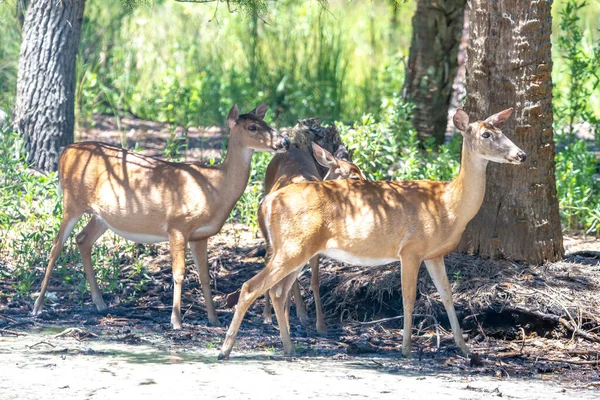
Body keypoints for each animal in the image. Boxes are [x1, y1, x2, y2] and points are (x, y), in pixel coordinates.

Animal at [32, 102, 290, 328]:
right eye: (252, 127)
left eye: (266, 122)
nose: (284, 141)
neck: (214, 187)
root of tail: (66, 152)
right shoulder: (178, 226)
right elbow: (179, 273)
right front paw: (176, 321)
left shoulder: (201, 235)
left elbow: (205, 276)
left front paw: (214, 319)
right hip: (72, 201)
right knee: (56, 247)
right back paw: (38, 306)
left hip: (101, 215)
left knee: (82, 239)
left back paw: (100, 303)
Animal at [258, 142, 364, 332]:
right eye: (355, 177)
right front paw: (287, 322)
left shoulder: (316, 249)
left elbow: (315, 282)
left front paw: (320, 325)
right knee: (267, 260)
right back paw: (267, 315)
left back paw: (301, 314)